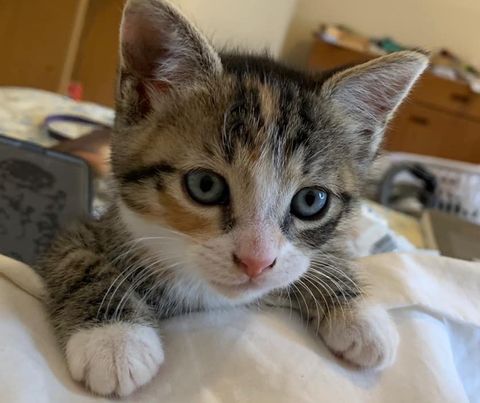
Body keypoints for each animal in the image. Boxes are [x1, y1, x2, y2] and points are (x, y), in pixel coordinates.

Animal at [36, 0, 428, 398]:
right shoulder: (83, 229)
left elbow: (321, 255)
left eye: (311, 201)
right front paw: (114, 339)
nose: (256, 262)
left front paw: (361, 315)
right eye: (205, 185)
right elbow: (76, 258)